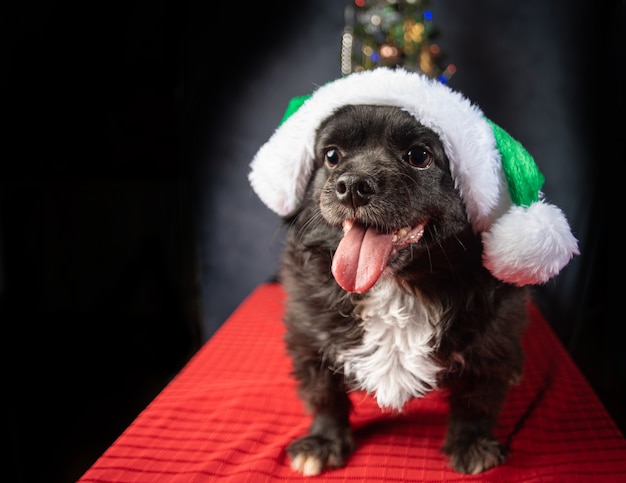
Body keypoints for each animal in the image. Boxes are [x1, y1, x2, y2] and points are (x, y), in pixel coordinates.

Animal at [278, 105, 528, 476]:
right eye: (332, 156)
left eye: (419, 156)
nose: (352, 186)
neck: (396, 285)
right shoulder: (310, 339)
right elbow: (325, 395)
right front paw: (323, 441)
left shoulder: (493, 345)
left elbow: (477, 399)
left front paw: (471, 443)